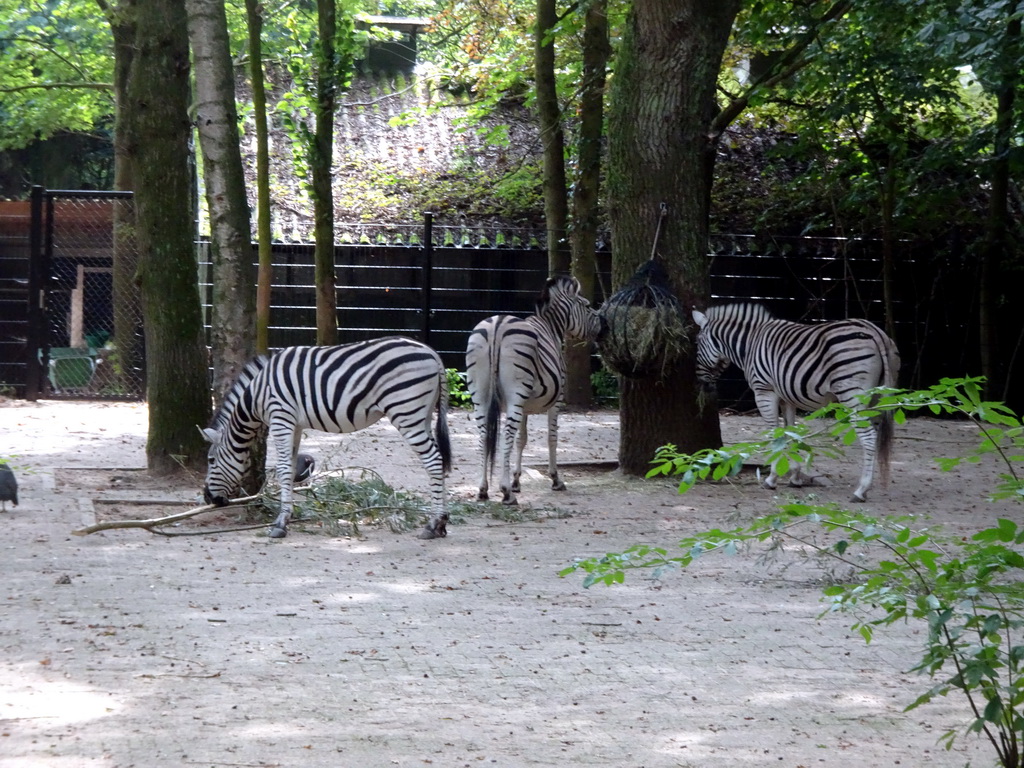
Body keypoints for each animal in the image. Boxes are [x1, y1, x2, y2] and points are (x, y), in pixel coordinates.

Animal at [201, 335, 450, 540]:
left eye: (211, 460)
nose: (207, 498)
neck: (256, 395)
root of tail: (432, 353)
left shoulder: (280, 417)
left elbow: (283, 469)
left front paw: (280, 524)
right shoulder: (295, 424)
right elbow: (291, 467)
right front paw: (287, 517)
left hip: (406, 411)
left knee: (433, 461)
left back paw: (433, 523)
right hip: (423, 414)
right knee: (439, 460)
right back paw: (442, 523)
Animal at [466, 274, 602, 505]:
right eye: (586, 305)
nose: (603, 324)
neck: (551, 327)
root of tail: (497, 326)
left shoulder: (525, 407)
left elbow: (522, 439)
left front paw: (516, 481)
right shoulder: (556, 400)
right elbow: (551, 438)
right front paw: (555, 479)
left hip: (480, 394)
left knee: (484, 436)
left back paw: (483, 489)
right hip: (515, 393)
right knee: (506, 436)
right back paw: (505, 492)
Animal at [692, 303, 901, 501]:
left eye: (697, 342)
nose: (701, 382)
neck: (750, 343)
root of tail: (876, 332)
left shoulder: (764, 391)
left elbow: (774, 435)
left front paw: (771, 479)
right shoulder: (787, 398)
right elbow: (790, 434)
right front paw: (795, 477)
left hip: (852, 394)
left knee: (869, 437)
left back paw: (861, 490)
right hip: (878, 397)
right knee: (875, 435)